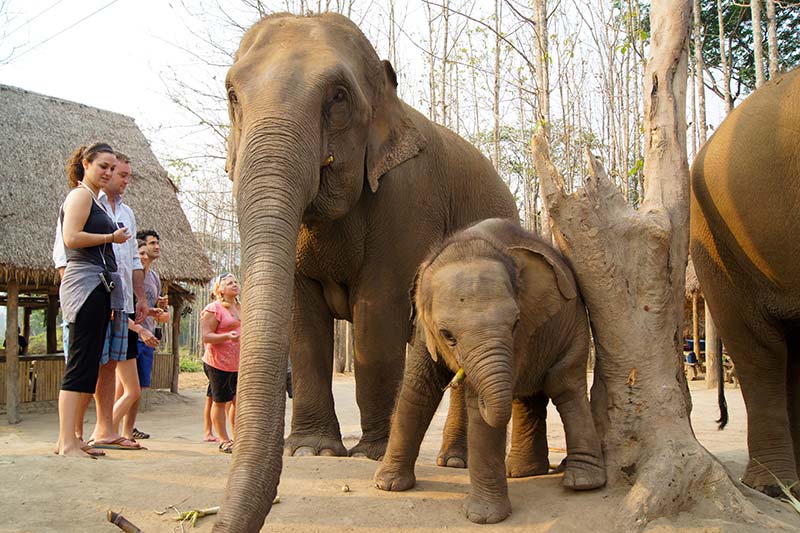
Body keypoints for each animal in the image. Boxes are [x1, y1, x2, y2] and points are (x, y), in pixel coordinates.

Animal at [216, 12, 520, 532]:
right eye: (233, 95)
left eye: (338, 96)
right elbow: (301, 319)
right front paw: (313, 451)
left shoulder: (409, 198)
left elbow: (377, 313)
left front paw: (369, 454)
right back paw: (450, 461)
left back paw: (454, 462)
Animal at [376, 217, 608, 524]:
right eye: (447, 335)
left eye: (515, 323)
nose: (459, 375)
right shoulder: (424, 332)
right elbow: (418, 386)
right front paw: (388, 485)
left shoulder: (523, 332)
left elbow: (478, 406)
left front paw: (483, 517)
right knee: (527, 397)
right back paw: (521, 472)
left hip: (576, 327)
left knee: (564, 385)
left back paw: (582, 482)